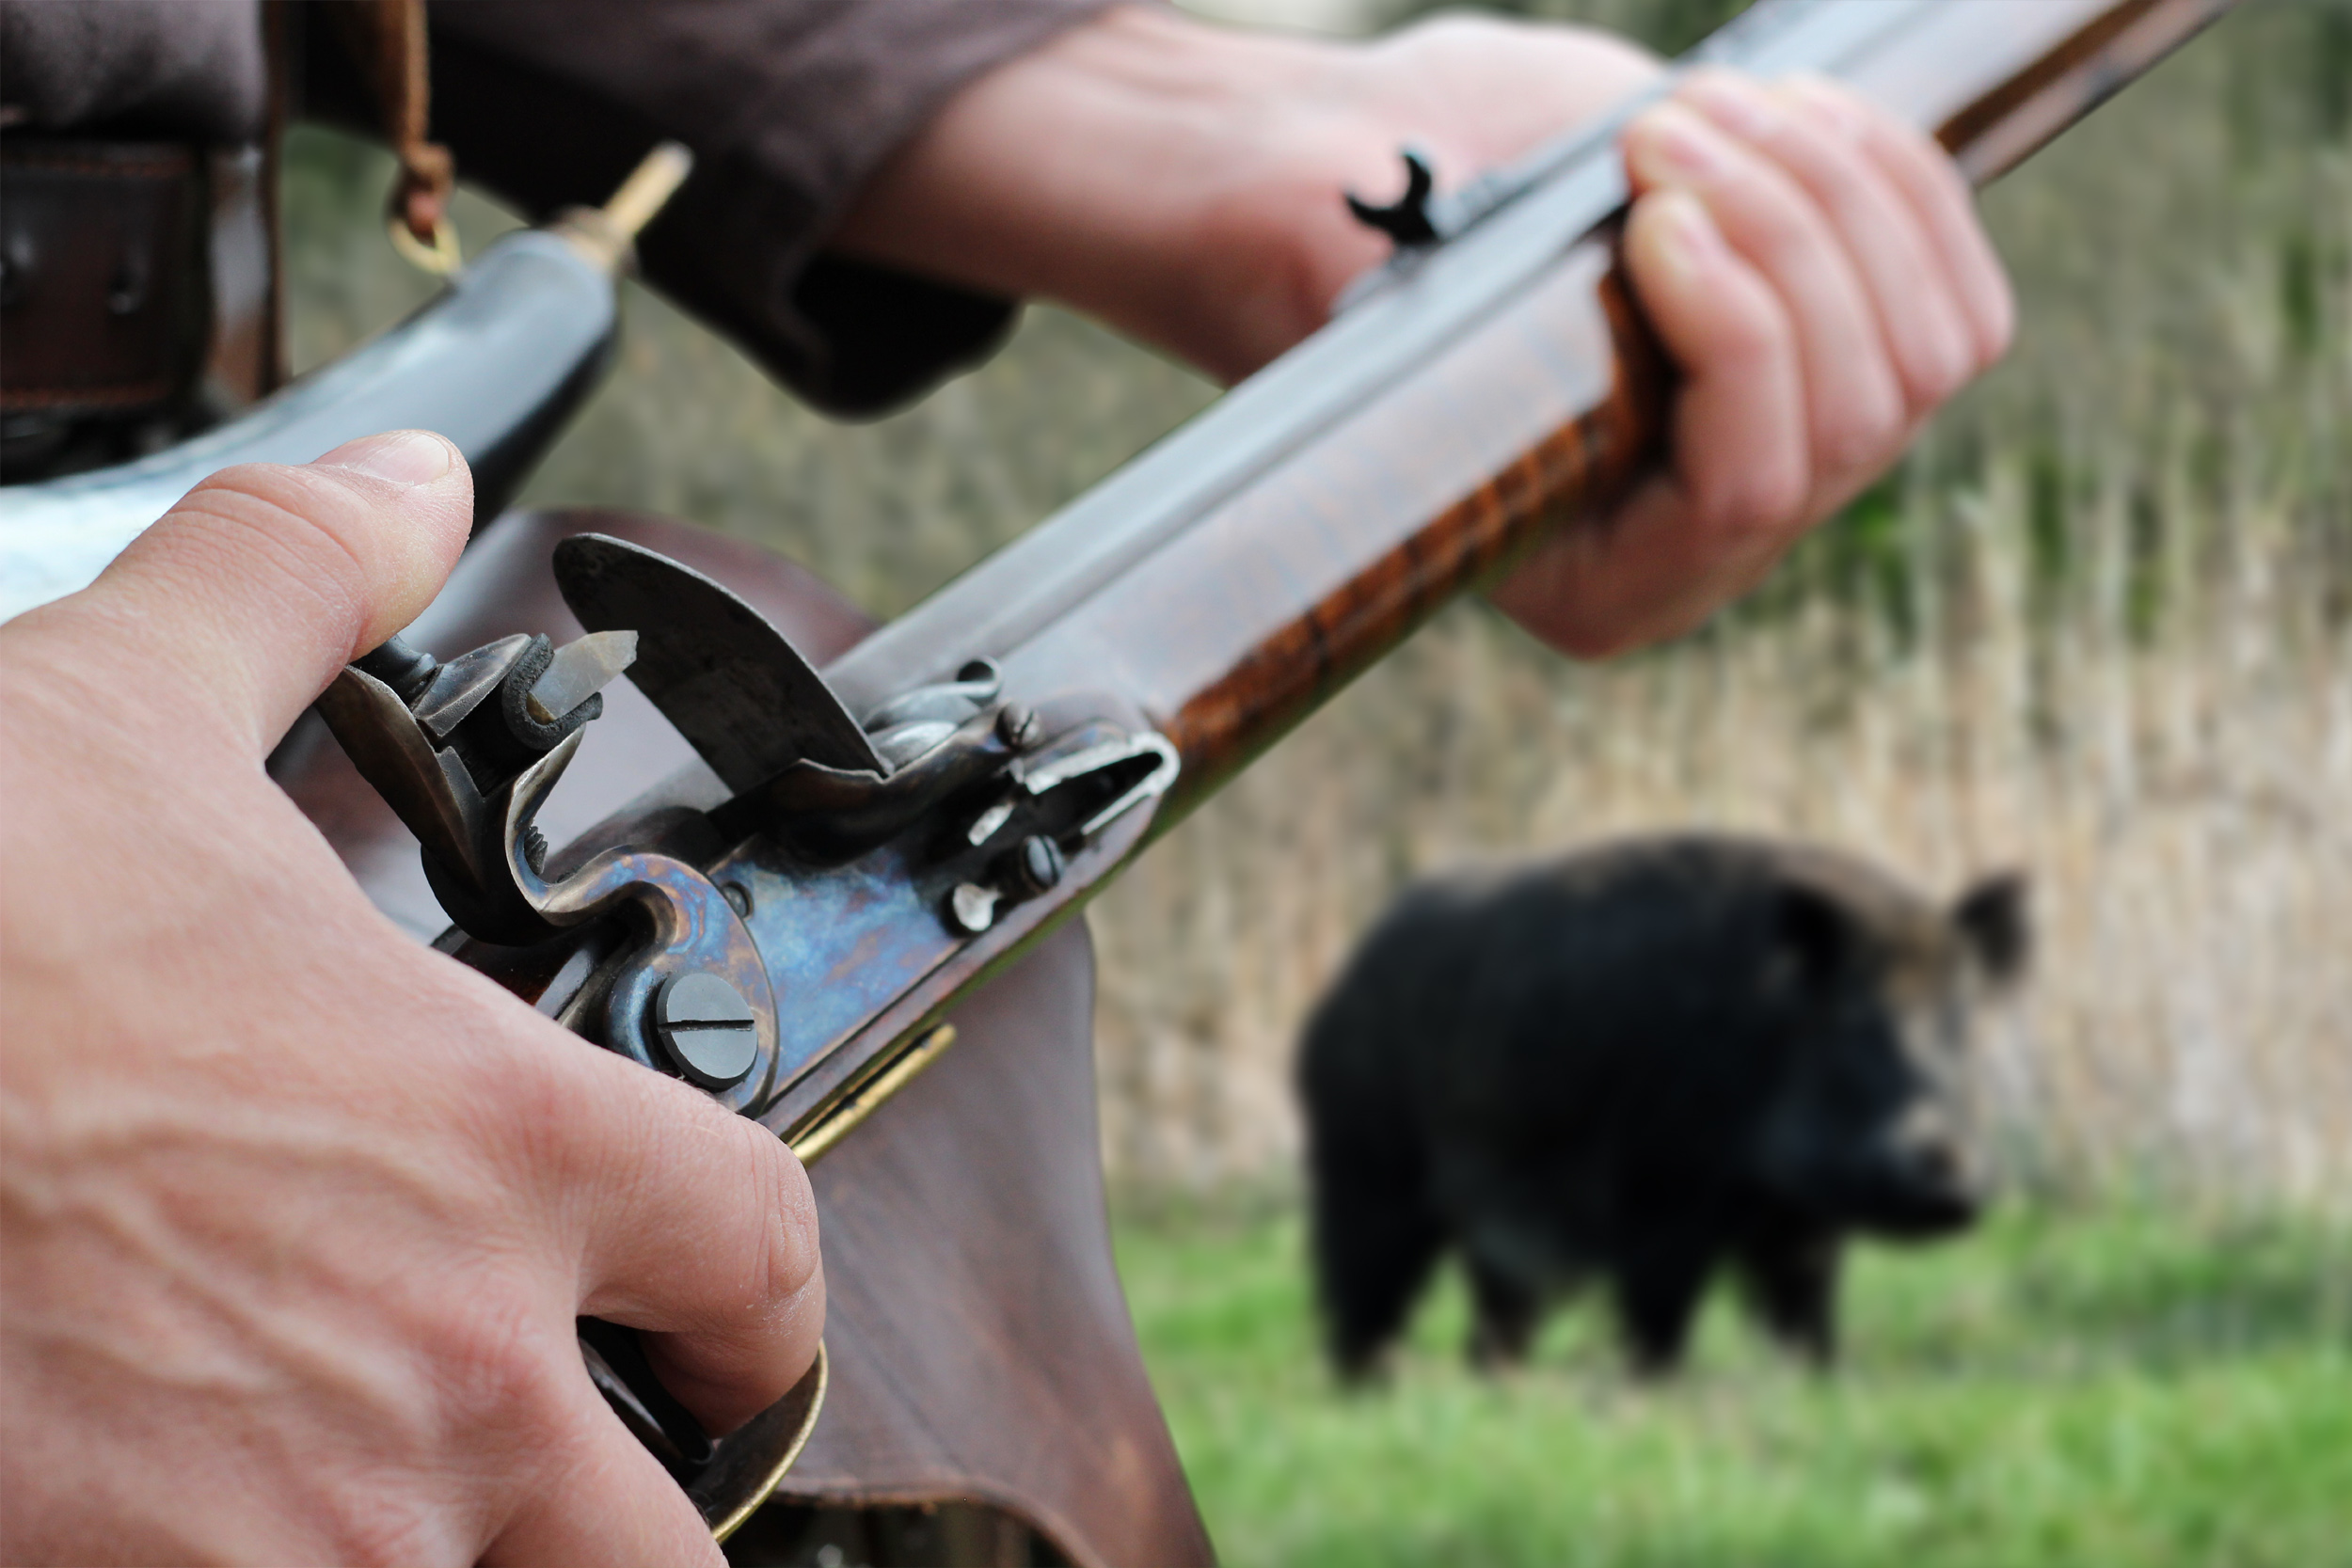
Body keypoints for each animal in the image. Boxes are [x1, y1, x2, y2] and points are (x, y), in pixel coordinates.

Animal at [1298, 832, 2032, 1372]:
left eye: (1963, 1025)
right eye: (1858, 1026)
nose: (1952, 1177)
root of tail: (1333, 997)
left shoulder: (1800, 1224)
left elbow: (1804, 1315)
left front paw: (1818, 1380)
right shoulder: (1658, 1191)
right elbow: (1660, 1311)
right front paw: (1656, 1390)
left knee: (1491, 1329)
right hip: (1365, 1172)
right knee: (1359, 1302)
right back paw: (1367, 1392)